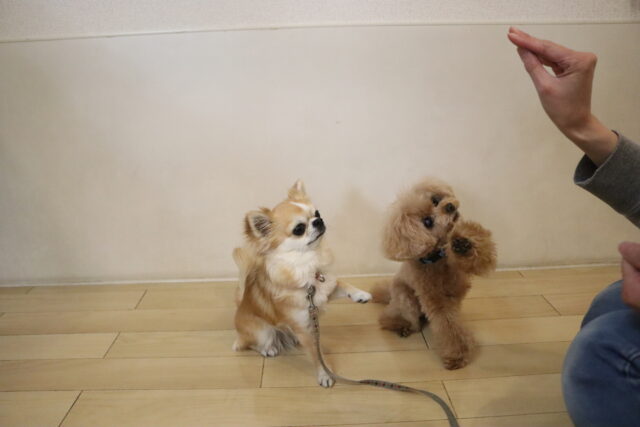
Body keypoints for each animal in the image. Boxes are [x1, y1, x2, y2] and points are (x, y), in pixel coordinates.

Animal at [232, 180, 372, 387]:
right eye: (299, 229)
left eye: (317, 213)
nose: (319, 221)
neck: (307, 264)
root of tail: (240, 304)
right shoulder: (303, 329)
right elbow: (315, 354)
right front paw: (324, 374)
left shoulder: (324, 290)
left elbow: (342, 283)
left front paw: (360, 294)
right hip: (261, 330)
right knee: (248, 343)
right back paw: (268, 348)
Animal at [373, 178, 496, 369]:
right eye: (427, 222)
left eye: (435, 200)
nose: (450, 206)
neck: (437, 259)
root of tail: (390, 294)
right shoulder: (436, 301)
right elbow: (448, 327)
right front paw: (457, 355)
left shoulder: (464, 273)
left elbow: (480, 253)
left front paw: (463, 242)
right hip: (406, 299)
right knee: (391, 318)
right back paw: (402, 327)